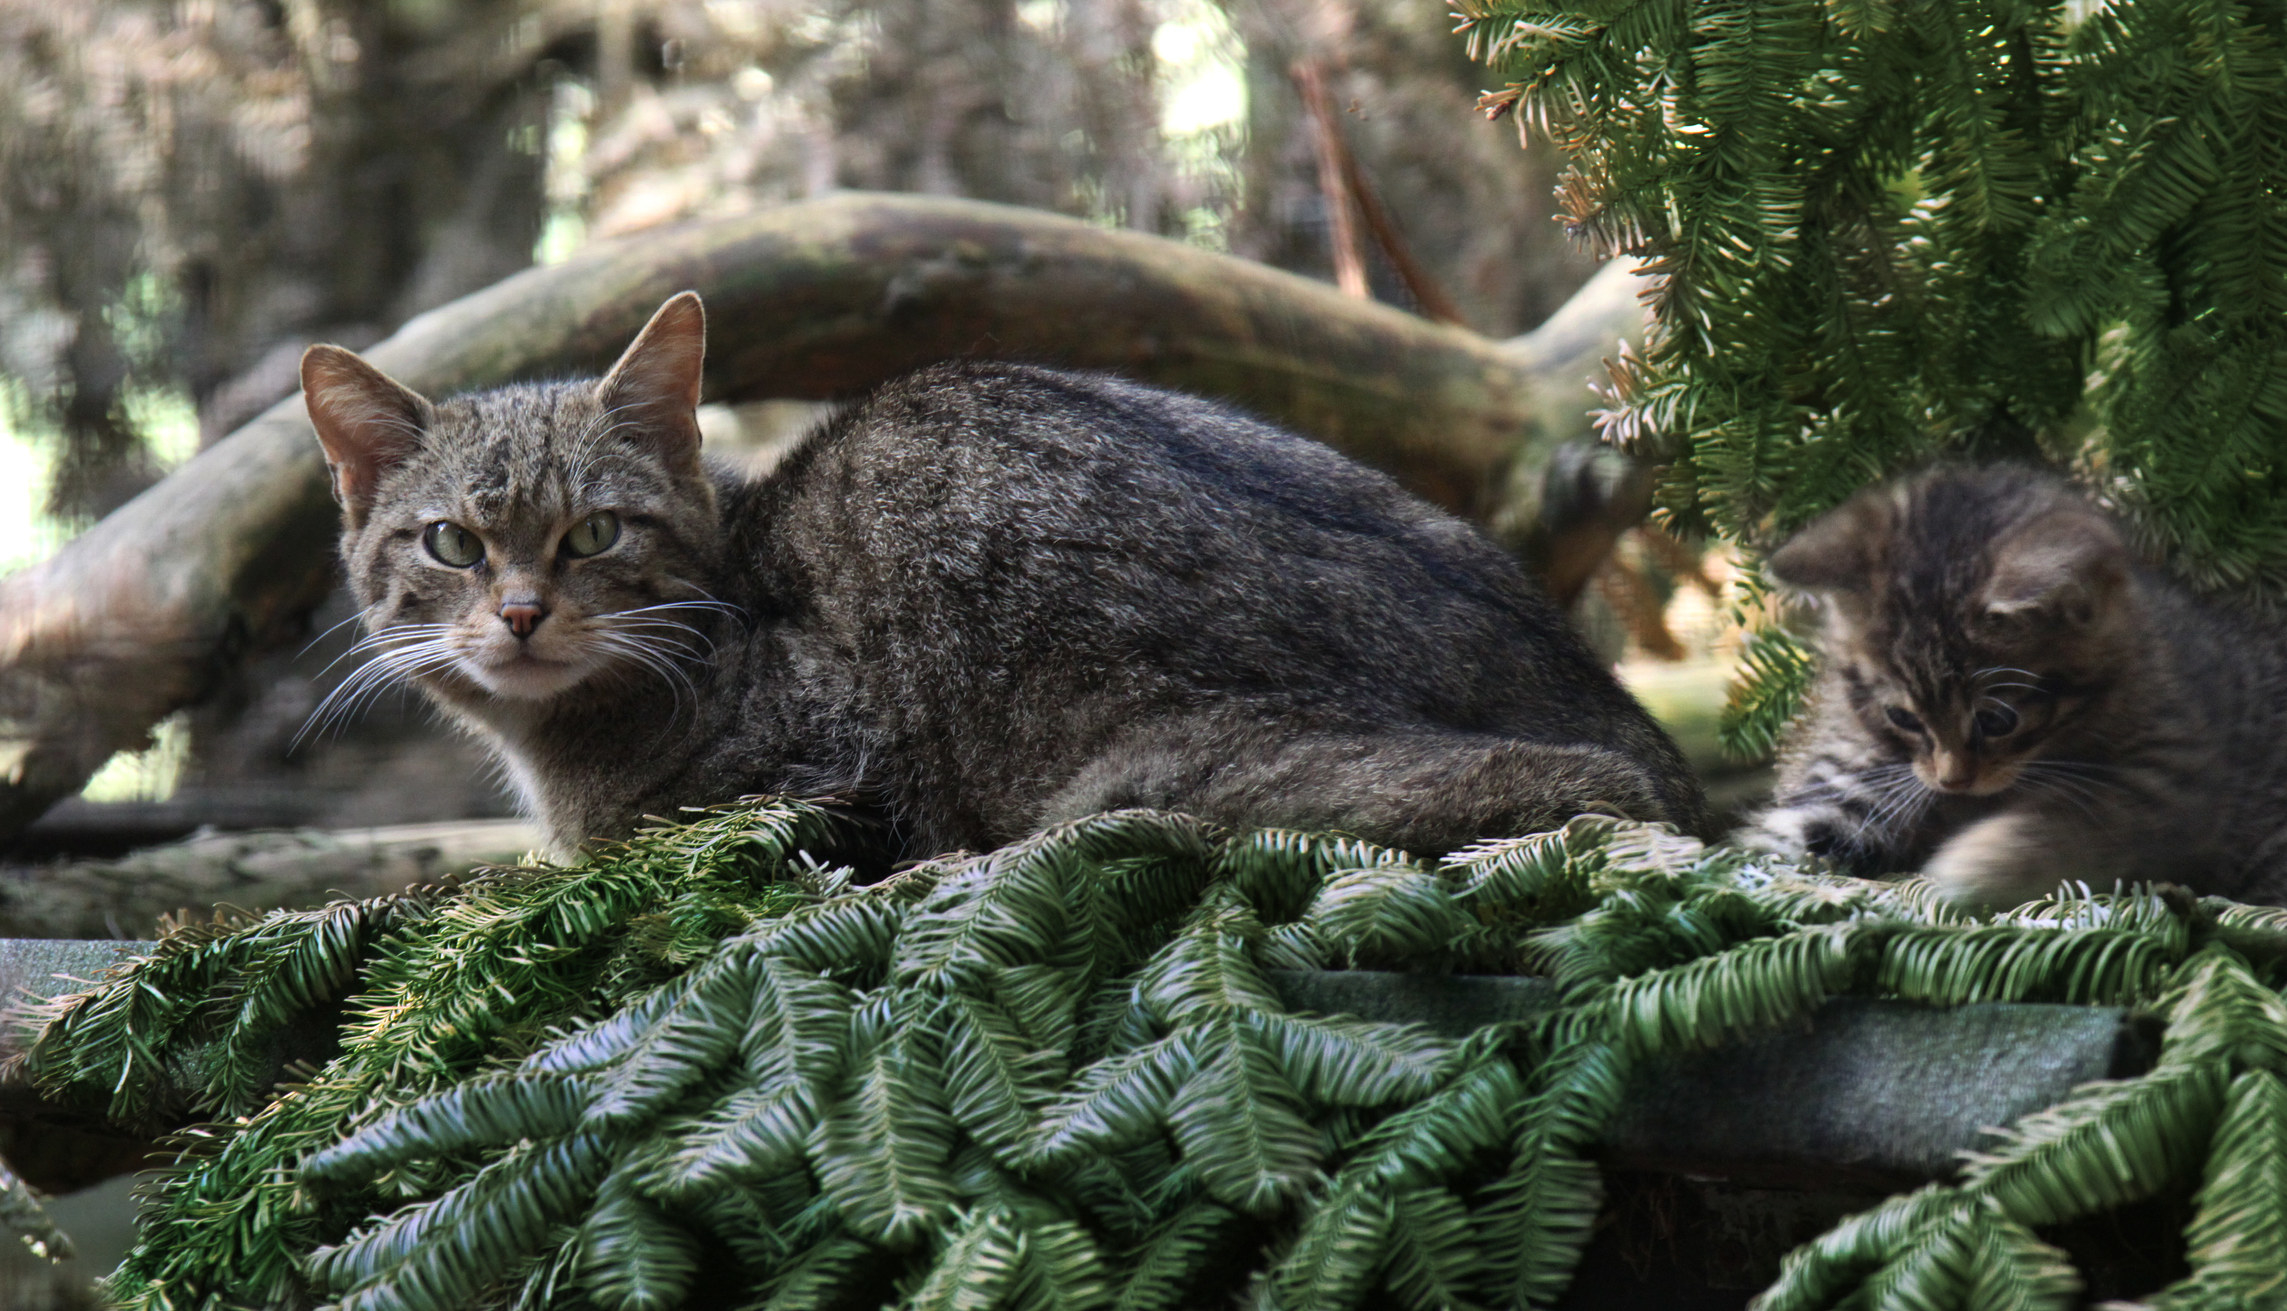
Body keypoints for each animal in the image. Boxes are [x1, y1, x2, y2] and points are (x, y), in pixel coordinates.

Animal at [1738, 464, 2287, 906]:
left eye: (1997, 720)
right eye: (1901, 717)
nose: (1952, 779)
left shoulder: (2176, 772)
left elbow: (2076, 826)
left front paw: (1971, 864)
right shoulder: (1851, 769)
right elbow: (1791, 831)